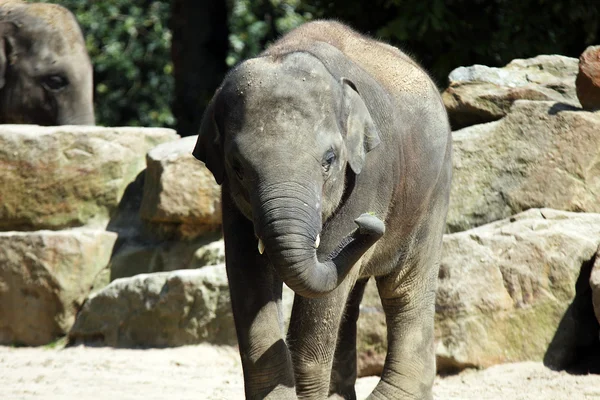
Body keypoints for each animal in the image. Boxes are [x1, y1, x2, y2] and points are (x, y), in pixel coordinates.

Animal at [195, 19, 452, 400]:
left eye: (329, 160)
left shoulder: (369, 173)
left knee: (404, 290)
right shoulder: (229, 195)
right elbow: (247, 271)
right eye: (237, 167)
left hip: (433, 192)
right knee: (351, 292)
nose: (370, 225)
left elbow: (324, 283)